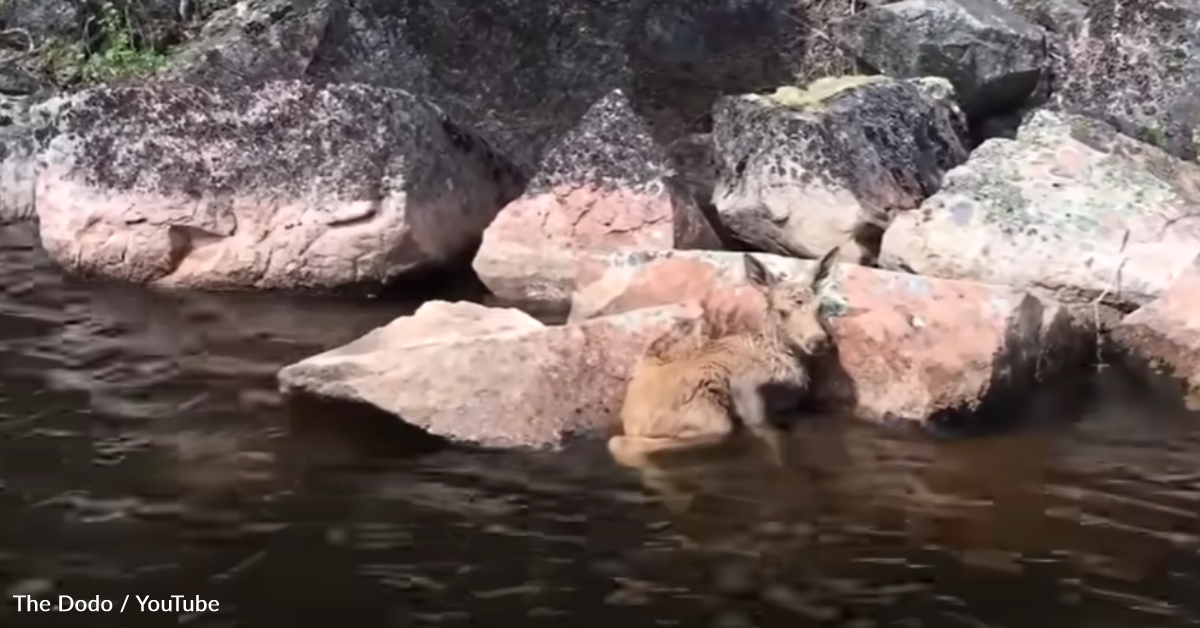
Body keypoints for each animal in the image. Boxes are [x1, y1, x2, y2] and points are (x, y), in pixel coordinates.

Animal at [609, 247, 841, 471]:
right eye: (782, 312)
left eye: (820, 307)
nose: (818, 341)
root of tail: (631, 418)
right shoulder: (751, 399)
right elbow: (774, 442)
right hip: (709, 415)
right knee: (623, 445)